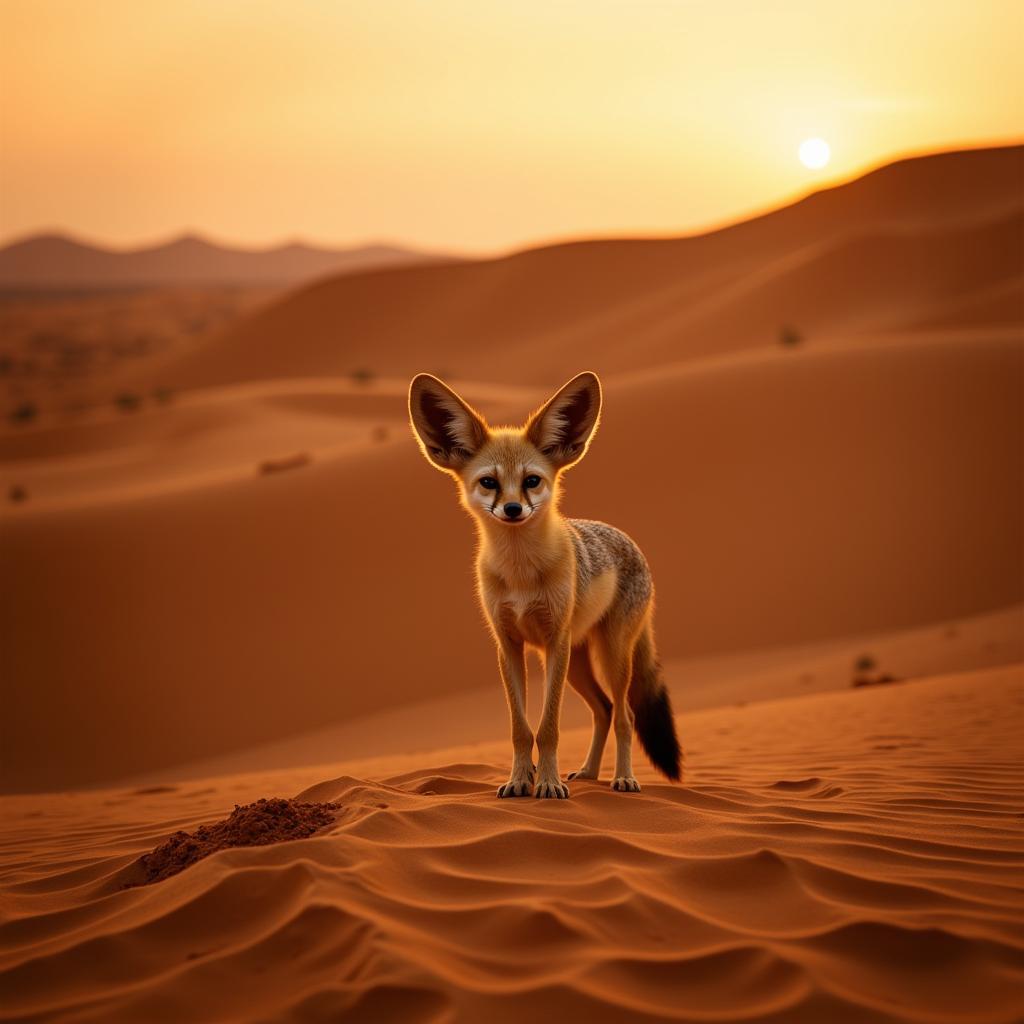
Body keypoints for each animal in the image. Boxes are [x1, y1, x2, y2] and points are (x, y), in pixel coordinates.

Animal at [405, 370, 679, 798]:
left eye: (532, 481)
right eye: (489, 482)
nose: (513, 509)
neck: (520, 575)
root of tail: (631, 543)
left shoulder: (553, 642)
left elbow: (548, 727)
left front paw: (547, 784)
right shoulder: (509, 645)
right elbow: (521, 728)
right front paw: (520, 780)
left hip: (609, 656)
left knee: (625, 715)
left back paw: (623, 778)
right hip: (579, 663)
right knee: (603, 710)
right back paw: (588, 773)